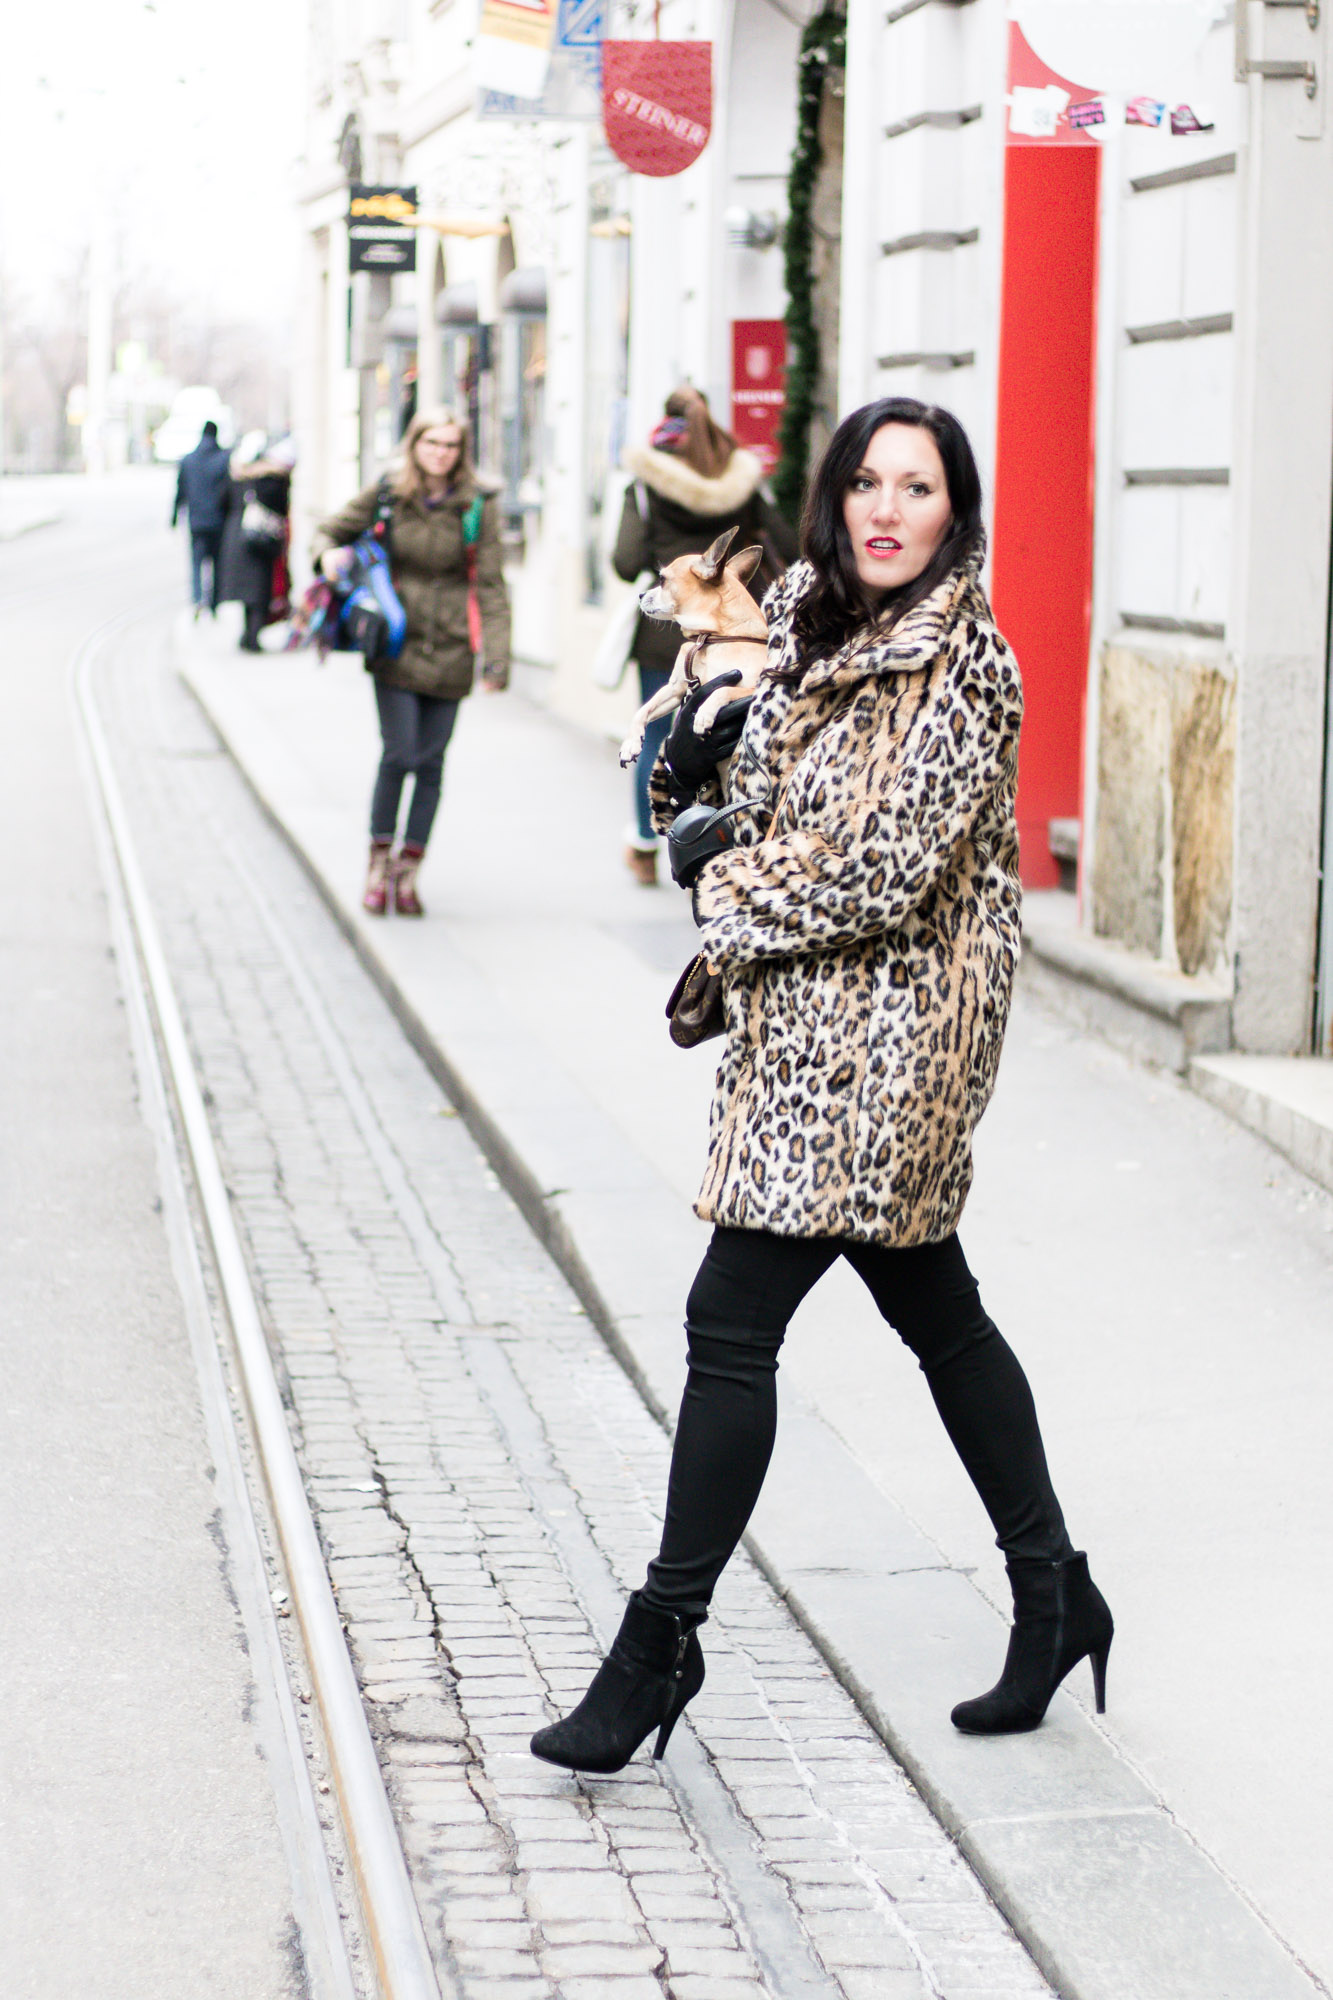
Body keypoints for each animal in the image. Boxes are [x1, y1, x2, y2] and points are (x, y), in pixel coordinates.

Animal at [616, 524, 764, 772]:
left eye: (662, 579)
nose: (641, 594)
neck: (711, 639)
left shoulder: (753, 689)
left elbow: (723, 689)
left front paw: (704, 713)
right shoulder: (676, 690)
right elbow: (644, 709)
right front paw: (630, 744)